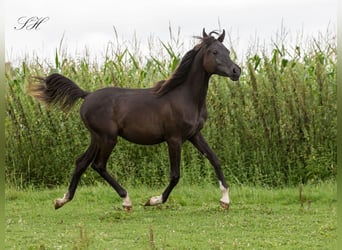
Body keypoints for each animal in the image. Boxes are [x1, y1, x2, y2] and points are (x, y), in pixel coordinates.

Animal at [29, 28, 240, 211]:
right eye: (214, 52)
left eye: (227, 51)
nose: (236, 71)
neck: (184, 97)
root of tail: (86, 95)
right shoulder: (174, 139)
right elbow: (175, 175)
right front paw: (153, 200)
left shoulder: (194, 135)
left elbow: (215, 160)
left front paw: (225, 200)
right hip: (108, 138)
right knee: (98, 165)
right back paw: (126, 200)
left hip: (97, 137)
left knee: (81, 162)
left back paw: (61, 200)